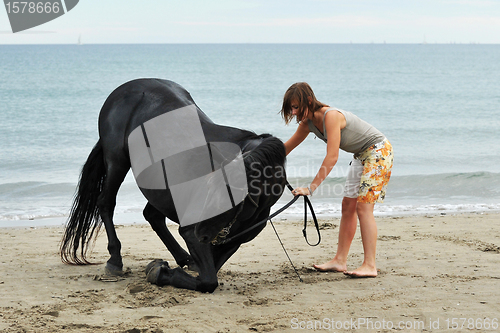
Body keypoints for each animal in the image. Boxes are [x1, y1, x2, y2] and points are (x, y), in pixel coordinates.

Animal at [59, 78, 286, 290]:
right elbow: (208, 281)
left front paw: (163, 269)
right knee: (106, 202)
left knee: (152, 215)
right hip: (116, 160)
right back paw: (115, 261)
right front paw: (160, 272)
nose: (201, 230)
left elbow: (211, 272)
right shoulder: (192, 232)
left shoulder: (232, 241)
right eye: (210, 190)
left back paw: (183, 258)